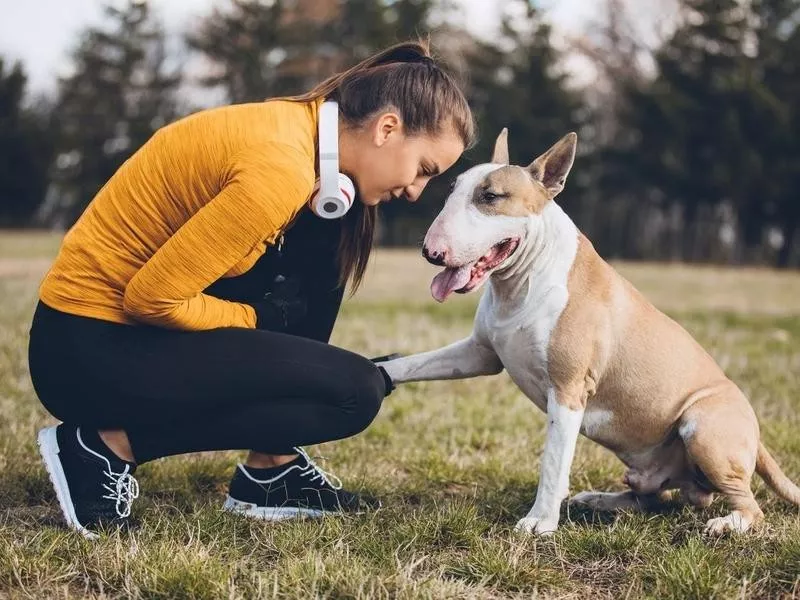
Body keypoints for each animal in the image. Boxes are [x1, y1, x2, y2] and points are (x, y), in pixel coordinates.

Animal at [376, 130, 800, 536]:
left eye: (491, 196)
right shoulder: (479, 353)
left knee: (749, 506)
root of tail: (757, 438)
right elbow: (413, 364)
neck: (521, 282)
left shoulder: (567, 390)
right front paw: (377, 372)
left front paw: (540, 523)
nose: (431, 252)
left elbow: (552, 463)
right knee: (654, 498)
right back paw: (600, 500)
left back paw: (728, 525)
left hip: (703, 425)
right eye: (452, 189)